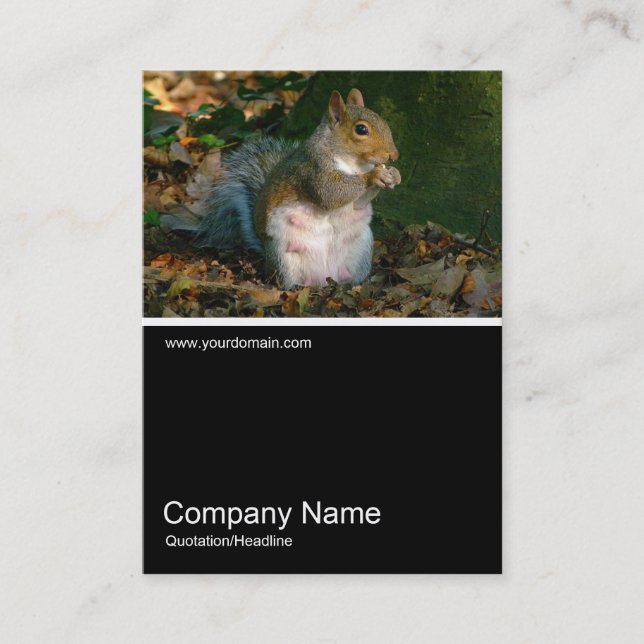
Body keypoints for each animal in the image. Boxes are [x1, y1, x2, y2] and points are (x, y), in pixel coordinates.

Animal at [163, 88, 401, 289]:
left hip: (361, 249)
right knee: (286, 280)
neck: (353, 163)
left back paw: (352, 284)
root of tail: (324, 277)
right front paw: (375, 175)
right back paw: (295, 287)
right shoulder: (313, 169)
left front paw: (393, 175)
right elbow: (330, 194)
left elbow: (359, 202)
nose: (394, 155)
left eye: (384, 121)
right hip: (284, 256)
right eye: (361, 129)